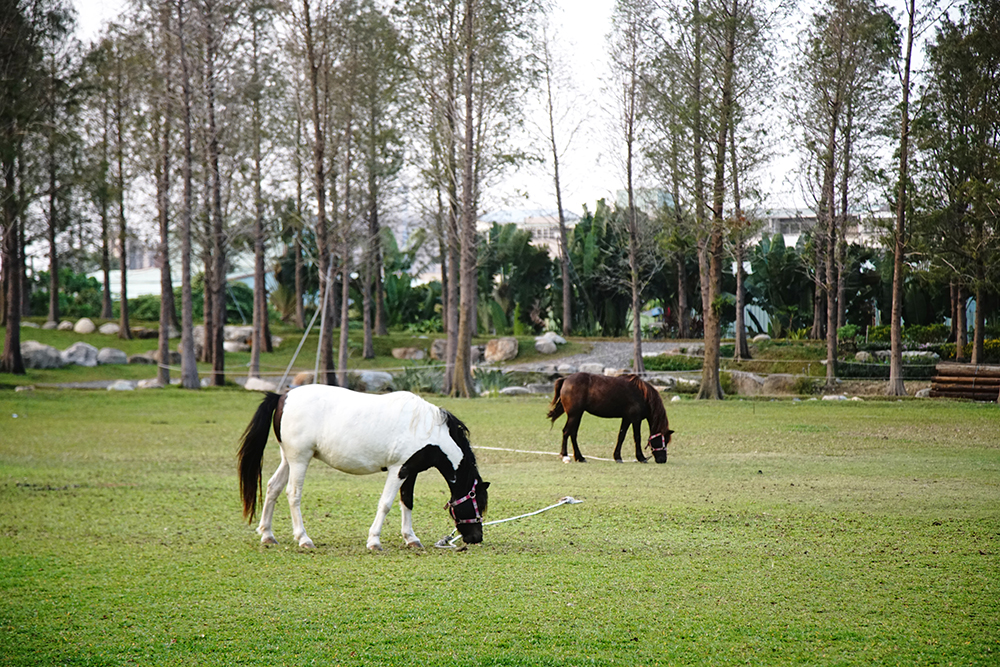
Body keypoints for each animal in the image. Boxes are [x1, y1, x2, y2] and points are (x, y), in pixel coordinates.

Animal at [237, 385, 489, 550]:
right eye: (477, 502)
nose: (476, 537)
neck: (428, 430)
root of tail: (283, 396)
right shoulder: (399, 469)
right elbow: (386, 504)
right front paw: (374, 541)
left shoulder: (410, 471)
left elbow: (407, 501)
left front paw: (411, 538)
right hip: (300, 459)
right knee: (293, 494)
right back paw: (303, 539)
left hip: (287, 459)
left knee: (273, 487)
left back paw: (267, 535)